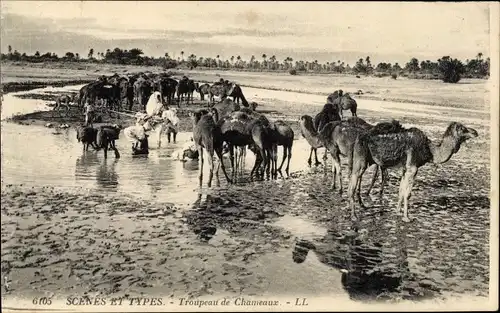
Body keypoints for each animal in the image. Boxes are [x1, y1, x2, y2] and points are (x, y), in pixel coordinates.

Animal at [348, 120, 480, 221]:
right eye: (463, 128)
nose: (475, 132)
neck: (430, 151)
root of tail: (359, 138)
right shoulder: (413, 168)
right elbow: (408, 194)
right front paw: (407, 218)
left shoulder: (405, 169)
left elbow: (401, 191)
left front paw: (398, 212)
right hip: (361, 159)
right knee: (352, 185)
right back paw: (354, 216)